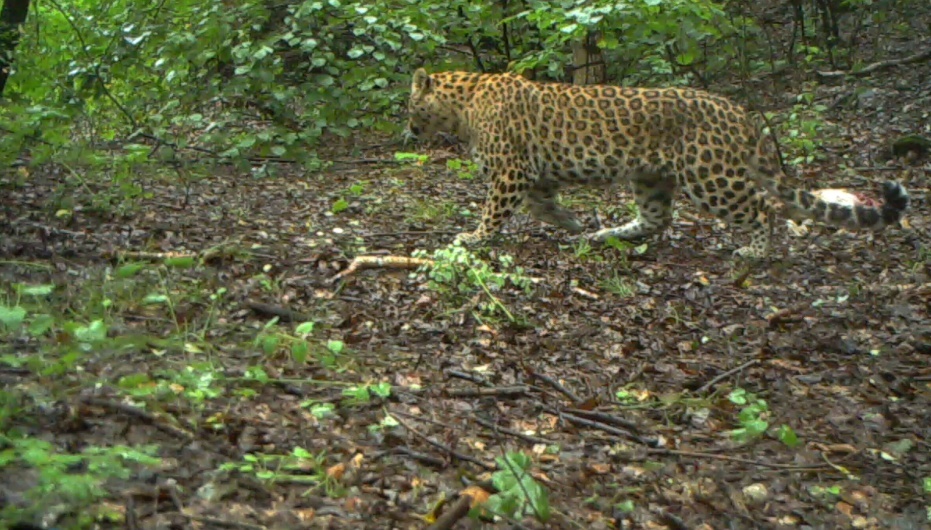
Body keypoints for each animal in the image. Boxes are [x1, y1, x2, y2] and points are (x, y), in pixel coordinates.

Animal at [402, 67, 912, 256]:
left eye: (410, 104)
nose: (408, 129)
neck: (462, 103)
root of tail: (741, 113)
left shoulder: (511, 171)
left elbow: (496, 211)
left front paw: (473, 237)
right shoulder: (534, 175)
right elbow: (542, 204)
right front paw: (571, 224)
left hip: (711, 175)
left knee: (764, 208)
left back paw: (755, 251)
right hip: (651, 176)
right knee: (655, 218)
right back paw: (606, 233)